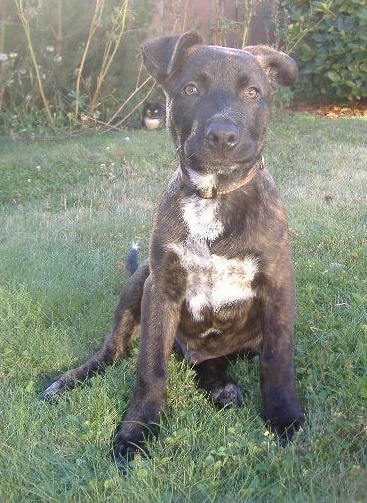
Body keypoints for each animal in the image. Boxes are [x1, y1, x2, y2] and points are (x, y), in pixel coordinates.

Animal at [44, 32, 306, 472]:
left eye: (253, 92)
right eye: (191, 89)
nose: (222, 135)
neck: (213, 195)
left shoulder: (277, 287)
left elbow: (277, 359)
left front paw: (284, 415)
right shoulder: (160, 288)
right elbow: (150, 366)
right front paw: (136, 430)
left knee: (212, 361)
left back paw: (221, 387)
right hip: (139, 279)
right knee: (113, 351)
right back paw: (69, 380)